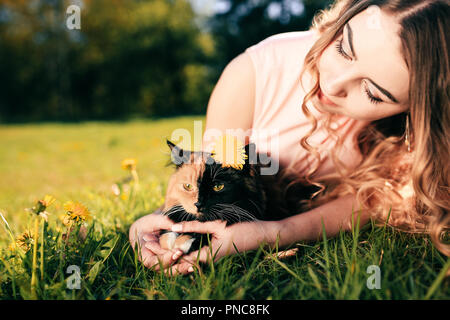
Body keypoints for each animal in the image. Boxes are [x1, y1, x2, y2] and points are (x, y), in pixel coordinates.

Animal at [159, 139, 320, 254]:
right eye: (188, 186)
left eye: (218, 186)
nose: (198, 204)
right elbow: (165, 237)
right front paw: (172, 239)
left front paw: (184, 242)